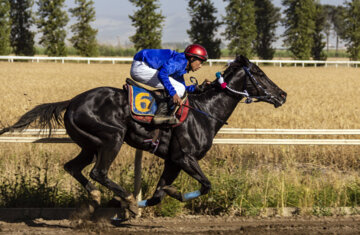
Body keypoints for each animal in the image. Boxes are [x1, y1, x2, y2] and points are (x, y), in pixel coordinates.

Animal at [0, 54, 286, 215]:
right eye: (259, 74)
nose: (282, 95)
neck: (205, 111)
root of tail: (71, 102)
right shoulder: (184, 157)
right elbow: (206, 185)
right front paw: (136, 205)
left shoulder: (172, 161)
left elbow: (159, 194)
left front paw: (143, 204)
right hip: (112, 138)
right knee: (98, 172)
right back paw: (124, 197)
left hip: (89, 144)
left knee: (73, 167)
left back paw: (98, 197)